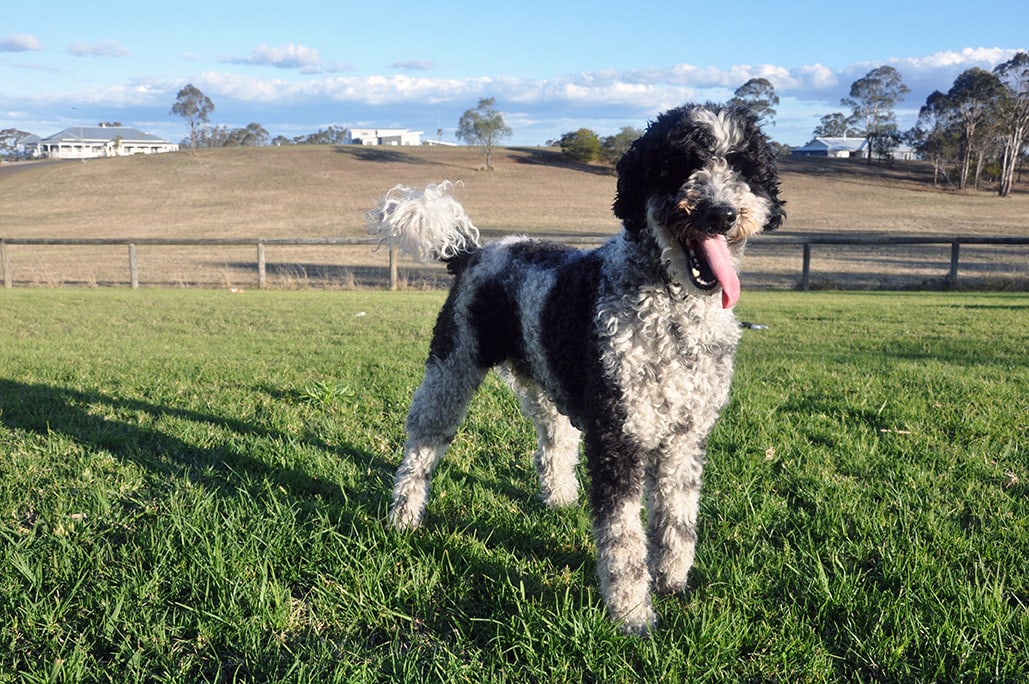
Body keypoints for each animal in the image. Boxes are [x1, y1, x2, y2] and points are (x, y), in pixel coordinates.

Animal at [368, 103, 777, 633]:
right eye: (682, 164)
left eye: (743, 167)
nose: (722, 213)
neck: (673, 312)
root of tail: (474, 252)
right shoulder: (620, 437)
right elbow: (623, 538)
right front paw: (632, 615)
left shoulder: (684, 440)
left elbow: (677, 519)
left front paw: (672, 582)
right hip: (451, 369)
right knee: (422, 445)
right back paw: (404, 516)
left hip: (542, 380)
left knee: (554, 440)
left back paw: (559, 498)